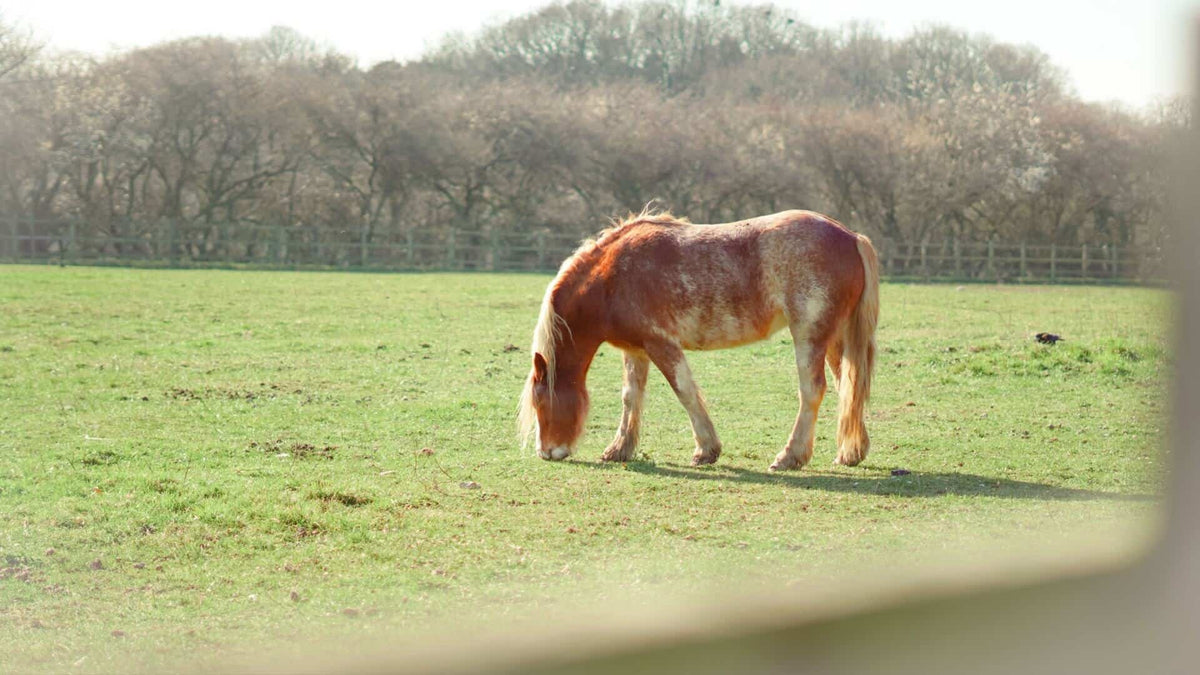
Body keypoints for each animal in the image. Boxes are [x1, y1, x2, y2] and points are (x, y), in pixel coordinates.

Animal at [518, 209, 879, 471]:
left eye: (541, 402)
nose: (546, 452)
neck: (613, 277)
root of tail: (851, 237)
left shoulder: (661, 345)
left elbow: (685, 392)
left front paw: (707, 450)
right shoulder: (636, 351)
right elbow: (631, 397)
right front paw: (619, 449)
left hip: (809, 336)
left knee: (813, 390)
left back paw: (790, 456)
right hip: (835, 340)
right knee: (849, 387)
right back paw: (850, 453)